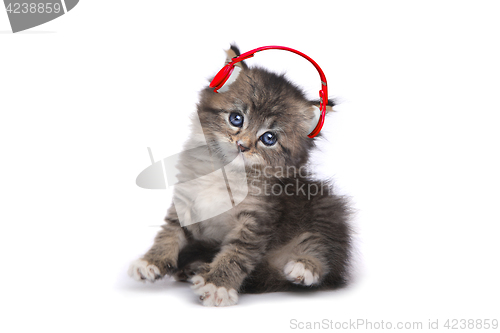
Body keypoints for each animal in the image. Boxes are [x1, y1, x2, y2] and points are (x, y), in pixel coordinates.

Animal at [130, 44, 356, 306]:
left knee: (323, 252)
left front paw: (217, 284)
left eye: (269, 138)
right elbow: (169, 233)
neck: (225, 172)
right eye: (236, 118)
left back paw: (303, 267)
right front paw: (151, 262)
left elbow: (236, 254)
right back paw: (193, 266)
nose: (242, 145)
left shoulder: (256, 218)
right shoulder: (185, 201)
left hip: (324, 207)